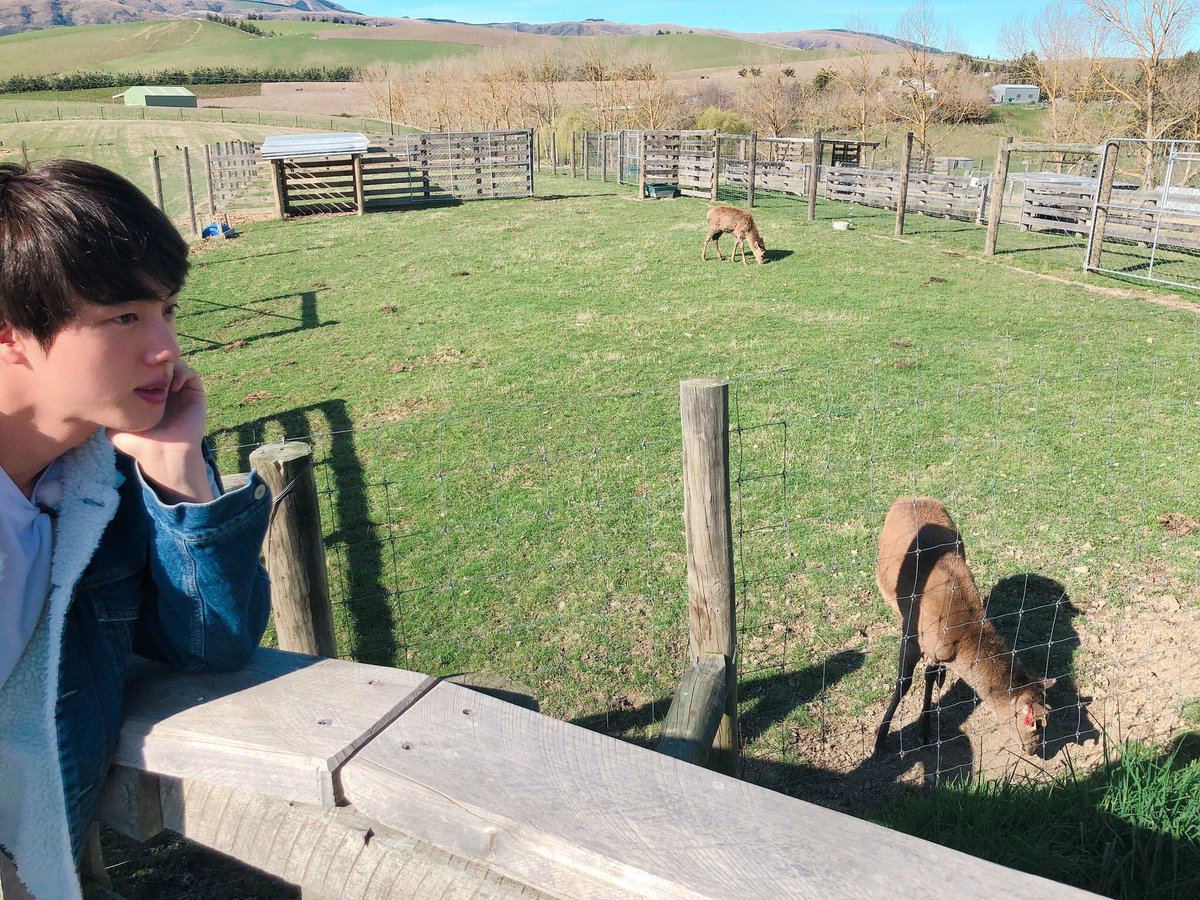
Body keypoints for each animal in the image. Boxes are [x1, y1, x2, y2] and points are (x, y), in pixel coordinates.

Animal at [868, 496, 1056, 758]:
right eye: (1034, 722)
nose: (1033, 750)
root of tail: (908, 497)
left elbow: (930, 676)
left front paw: (925, 730)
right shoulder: (912, 636)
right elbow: (903, 683)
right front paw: (880, 739)